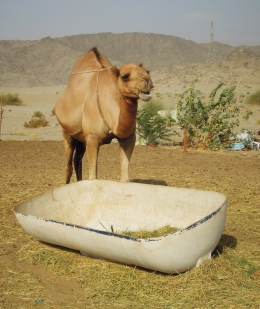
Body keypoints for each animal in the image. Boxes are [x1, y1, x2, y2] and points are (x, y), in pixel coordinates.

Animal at [54, 47, 152, 183]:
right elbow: (93, 176)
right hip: (67, 132)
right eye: (124, 76)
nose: (147, 79)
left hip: (81, 138)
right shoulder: (92, 137)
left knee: (77, 160)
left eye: (147, 71)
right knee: (68, 164)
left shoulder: (129, 138)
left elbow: (125, 177)